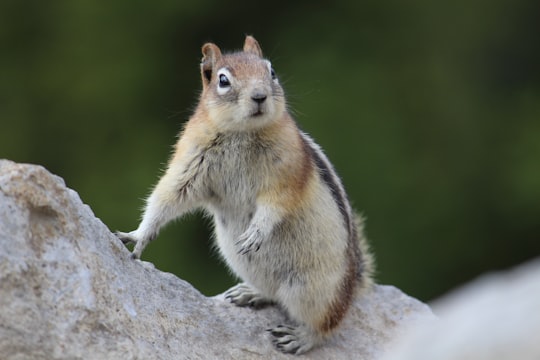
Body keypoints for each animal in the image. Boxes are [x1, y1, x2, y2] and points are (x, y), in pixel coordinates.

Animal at [116, 36, 374, 354]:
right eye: (223, 80)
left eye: (271, 71)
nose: (260, 96)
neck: (241, 132)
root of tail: (352, 286)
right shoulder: (189, 165)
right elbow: (166, 198)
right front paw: (137, 237)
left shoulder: (287, 174)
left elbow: (275, 206)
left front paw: (255, 233)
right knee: (274, 295)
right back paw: (250, 294)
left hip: (312, 289)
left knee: (326, 325)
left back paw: (299, 337)